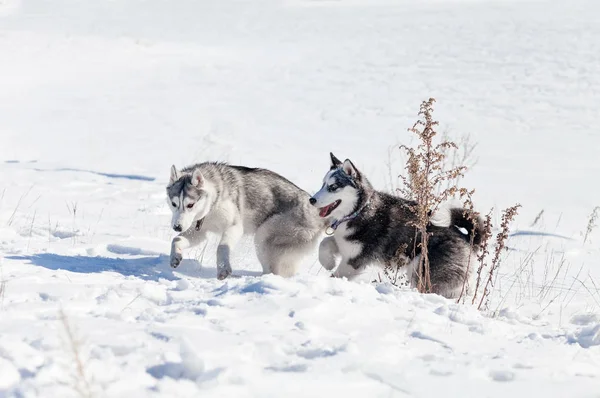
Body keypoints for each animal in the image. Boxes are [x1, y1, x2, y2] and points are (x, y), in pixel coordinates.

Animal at [166, 162, 326, 280]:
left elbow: (222, 247)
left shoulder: (234, 226)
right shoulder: (199, 231)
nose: (177, 227)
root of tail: (320, 214)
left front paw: (223, 269)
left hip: (264, 235)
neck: (213, 203)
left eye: (190, 205)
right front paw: (175, 257)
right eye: (174, 204)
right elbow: (176, 240)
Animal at [310, 153, 482, 298]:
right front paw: (328, 262)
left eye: (333, 187)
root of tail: (466, 238)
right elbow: (325, 244)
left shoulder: (354, 260)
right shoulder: (344, 244)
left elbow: (338, 275)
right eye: (323, 184)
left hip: (421, 271)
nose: (312, 200)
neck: (359, 210)